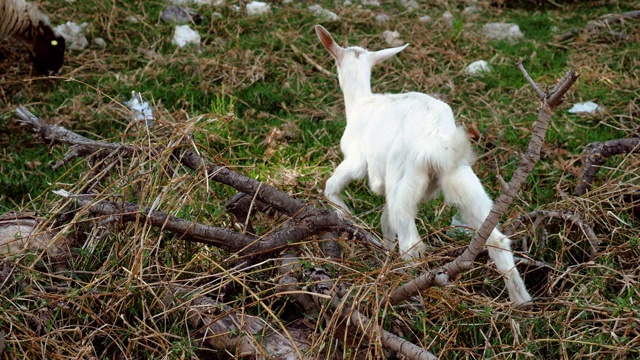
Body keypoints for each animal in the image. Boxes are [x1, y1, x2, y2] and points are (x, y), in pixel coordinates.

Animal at [316, 23, 528, 306]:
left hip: (405, 180)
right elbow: (385, 222)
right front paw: (383, 251)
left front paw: (348, 219)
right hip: (460, 180)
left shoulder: (356, 160)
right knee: (497, 239)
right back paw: (521, 303)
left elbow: (331, 188)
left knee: (411, 245)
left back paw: (406, 293)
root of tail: (435, 141)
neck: (361, 103)